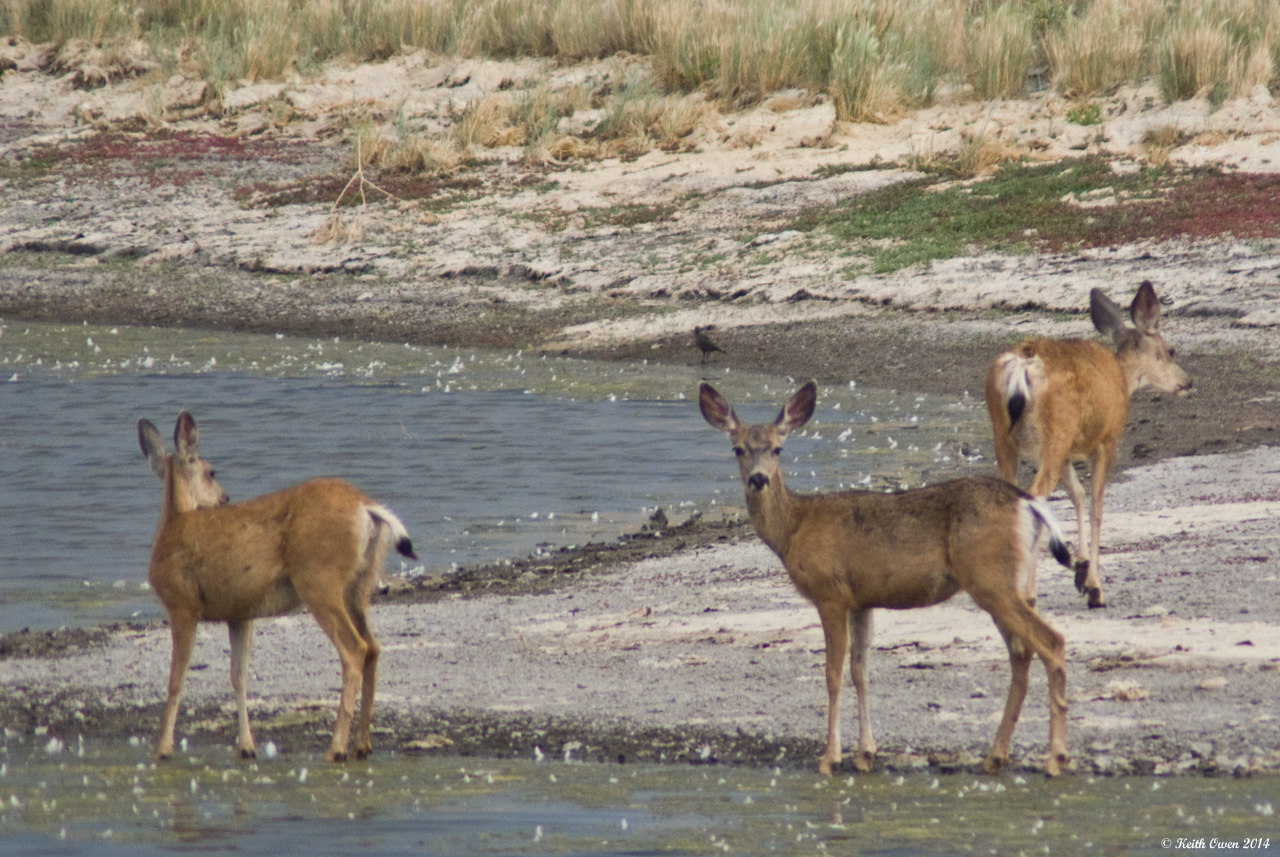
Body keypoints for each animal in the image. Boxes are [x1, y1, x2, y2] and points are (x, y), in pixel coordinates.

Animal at [138, 411, 417, 762]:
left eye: (212, 470)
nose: (225, 498)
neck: (172, 526)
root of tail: (367, 507)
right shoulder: (239, 614)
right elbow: (239, 677)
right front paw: (246, 747)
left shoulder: (182, 604)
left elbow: (176, 679)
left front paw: (162, 749)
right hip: (359, 586)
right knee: (374, 647)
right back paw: (362, 745)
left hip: (319, 581)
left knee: (355, 648)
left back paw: (336, 748)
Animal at [700, 381, 1073, 776]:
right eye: (738, 448)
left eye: (777, 448)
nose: (759, 479)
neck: (793, 528)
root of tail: (1028, 504)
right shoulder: (861, 600)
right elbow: (860, 670)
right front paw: (866, 753)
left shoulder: (830, 593)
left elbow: (832, 673)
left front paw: (830, 758)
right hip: (1009, 583)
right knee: (1021, 652)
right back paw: (996, 756)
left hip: (990, 578)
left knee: (1050, 641)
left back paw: (1055, 758)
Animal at [985, 280, 1192, 609]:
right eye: (1171, 350)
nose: (1187, 381)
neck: (1122, 379)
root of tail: (1021, 365)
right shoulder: (1108, 440)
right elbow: (1097, 506)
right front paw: (1095, 588)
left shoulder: (1066, 453)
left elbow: (1078, 495)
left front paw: (1081, 572)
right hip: (1056, 430)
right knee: (1036, 497)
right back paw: (1029, 594)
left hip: (1005, 437)